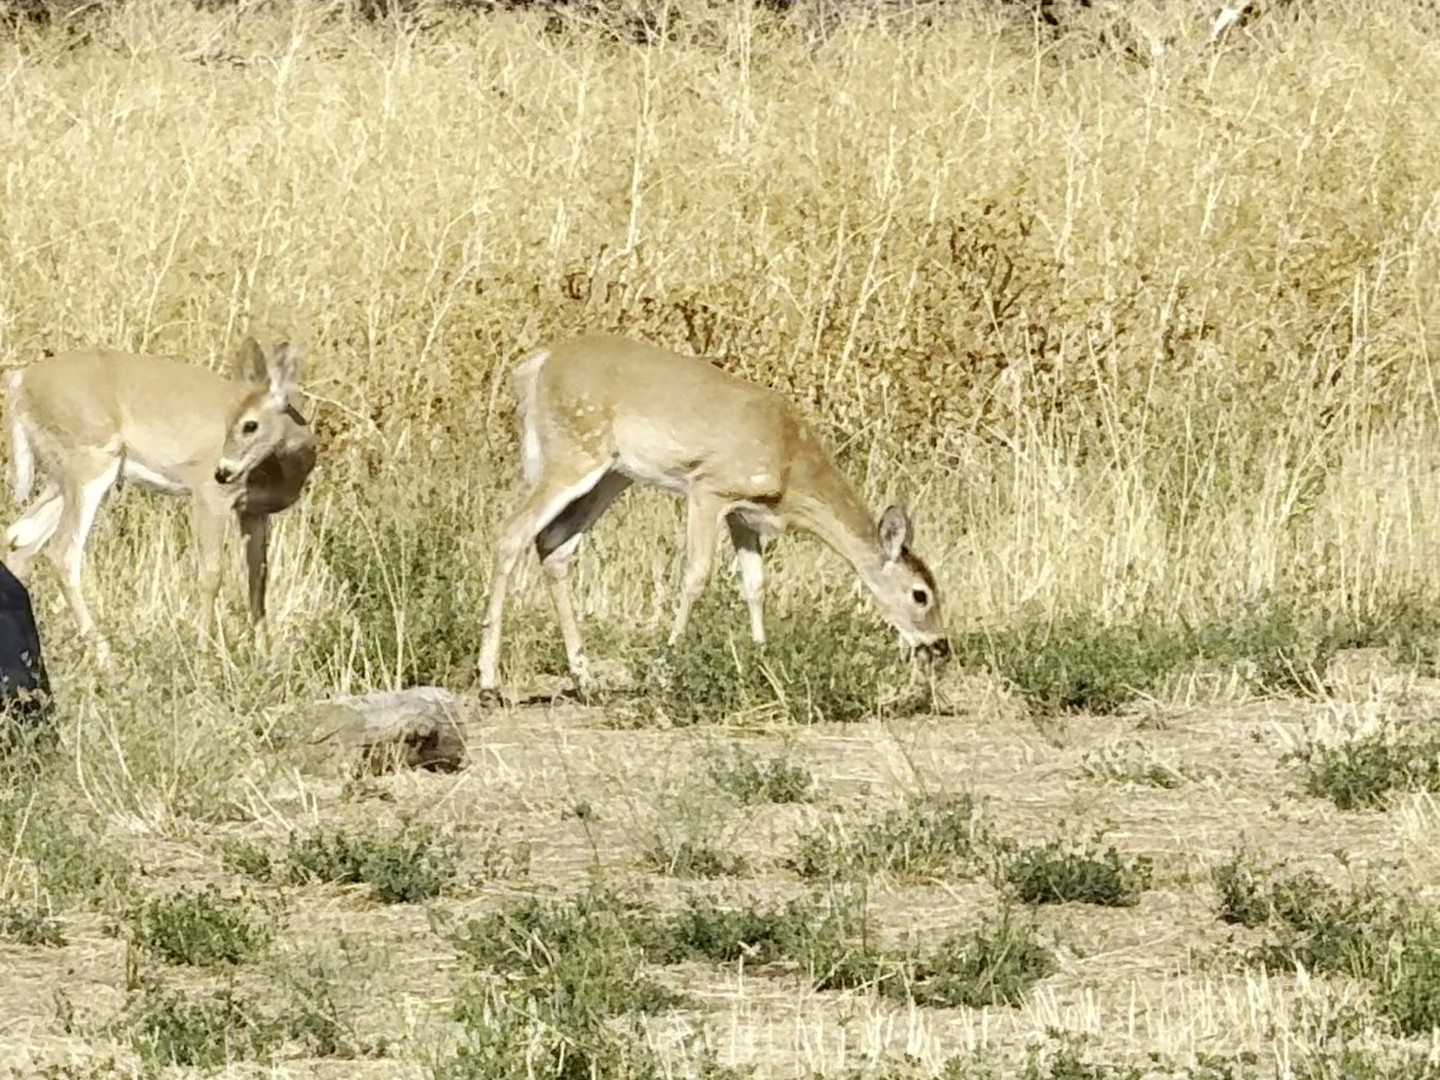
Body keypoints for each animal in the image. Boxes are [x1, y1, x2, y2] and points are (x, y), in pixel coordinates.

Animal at [2, 337, 316, 660]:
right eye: (230, 422)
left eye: (249, 425)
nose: (223, 470)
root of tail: (20, 381)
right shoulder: (209, 495)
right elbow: (211, 573)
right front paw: (203, 652)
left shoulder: (253, 512)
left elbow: (258, 578)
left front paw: (265, 654)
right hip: (90, 461)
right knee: (61, 552)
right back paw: (106, 657)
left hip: (65, 476)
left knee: (20, 539)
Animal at [476, 332, 950, 699]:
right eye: (921, 595)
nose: (939, 646)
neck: (790, 466)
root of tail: (535, 367)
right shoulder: (708, 487)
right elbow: (696, 575)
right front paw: (665, 671)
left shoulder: (744, 514)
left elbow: (756, 585)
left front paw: (763, 665)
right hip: (574, 450)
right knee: (512, 532)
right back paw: (488, 680)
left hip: (612, 474)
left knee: (554, 544)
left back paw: (585, 677)